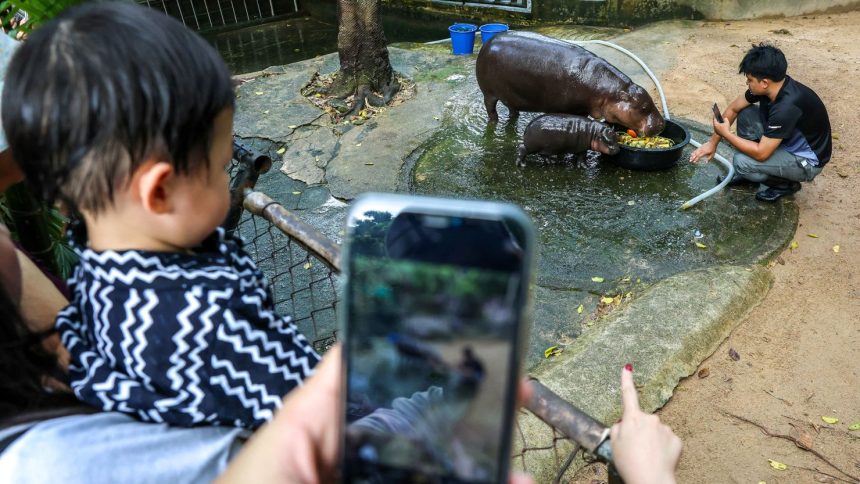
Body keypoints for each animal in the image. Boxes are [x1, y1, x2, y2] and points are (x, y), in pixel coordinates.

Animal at [478, 30, 664, 136]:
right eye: (643, 108)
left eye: (651, 102)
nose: (662, 125)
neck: (609, 92)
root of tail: (487, 43)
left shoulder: (582, 109)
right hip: (488, 93)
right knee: (491, 108)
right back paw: (493, 123)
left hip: (510, 94)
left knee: (512, 107)